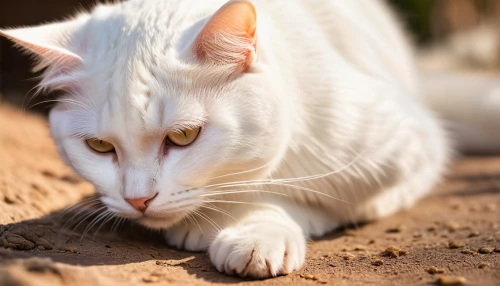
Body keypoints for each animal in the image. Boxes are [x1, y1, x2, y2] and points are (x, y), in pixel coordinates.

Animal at [1, 0, 498, 280]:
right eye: (100, 148)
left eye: (184, 136)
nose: (138, 200)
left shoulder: (411, 148)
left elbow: (304, 195)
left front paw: (254, 230)